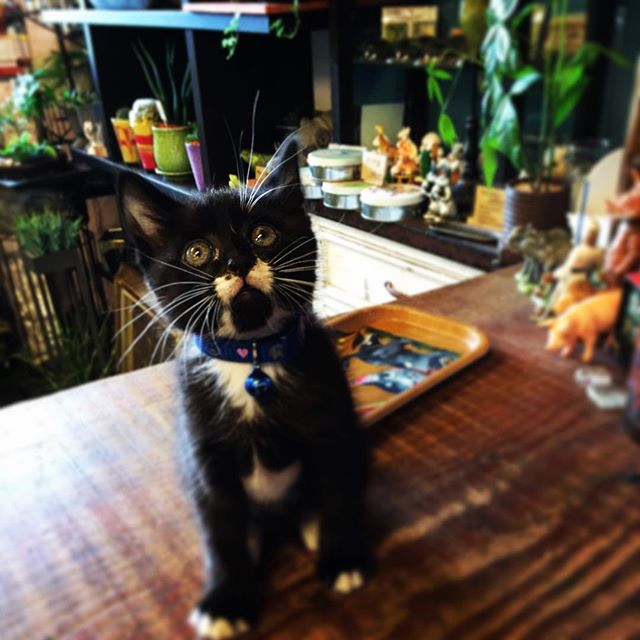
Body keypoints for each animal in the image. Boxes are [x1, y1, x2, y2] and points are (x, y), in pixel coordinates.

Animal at [118, 137, 370, 640]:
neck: (252, 359)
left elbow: (336, 492)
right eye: (198, 253)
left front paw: (341, 558)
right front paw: (225, 600)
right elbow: (221, 528)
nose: (237, 262)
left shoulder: (331, 425)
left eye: (263, 236)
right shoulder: (204, 450)